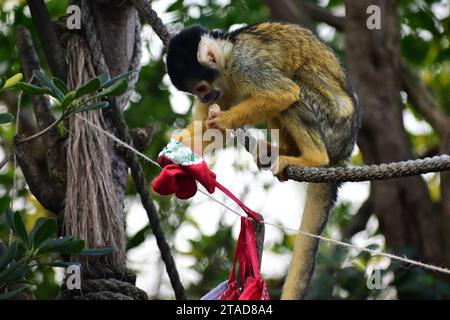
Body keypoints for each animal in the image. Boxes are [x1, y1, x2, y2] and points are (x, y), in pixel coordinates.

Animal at [165, 22, 358, 300]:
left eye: (199, 88)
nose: (202, 98)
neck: (227, 59)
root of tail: (344, 151)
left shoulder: (245, 65)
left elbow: (283, 93)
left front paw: (222, 121)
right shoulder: (221, 90)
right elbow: (206, 130)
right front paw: (177, 148)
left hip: (333, 125)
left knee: (296, 87)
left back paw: (313, 157)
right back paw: (281, 150)